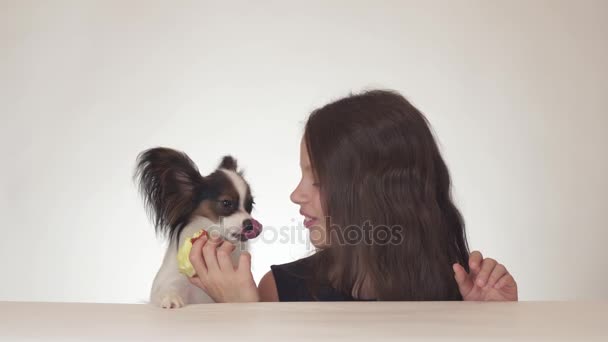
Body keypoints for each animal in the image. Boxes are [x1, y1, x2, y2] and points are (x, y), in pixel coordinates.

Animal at [135, 148, 262, 308]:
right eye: (226, 203)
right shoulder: (173, 279)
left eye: (250, 205)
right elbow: (169, 288)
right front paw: (170, 298)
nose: (250, 224)